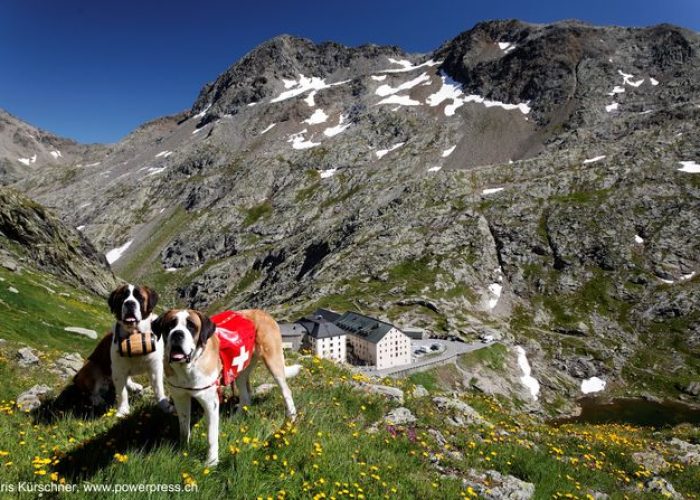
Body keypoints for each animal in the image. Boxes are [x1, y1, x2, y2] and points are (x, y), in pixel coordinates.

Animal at [110, 284, 175, 416]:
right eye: (122, 297)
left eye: (139, 297)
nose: (129, 303)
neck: (135, 335)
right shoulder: (118, 367)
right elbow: (121, 391)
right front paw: (122, 411)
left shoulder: (155, 366)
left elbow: (158, 387)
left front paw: (164, 405)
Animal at [152, 306, 300, 466]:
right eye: (169, 326)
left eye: (191, 326)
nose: (177, 334)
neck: (188, 367)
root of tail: (261, 312)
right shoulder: (180, 397)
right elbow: (184, 427)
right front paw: (184, 449)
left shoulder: (210, 402)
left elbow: (211, 435)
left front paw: (211, 462)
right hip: (240, 369)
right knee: (246, 396)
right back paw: (236, 418)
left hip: (273, 361)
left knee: (286, 391)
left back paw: (291, 418)